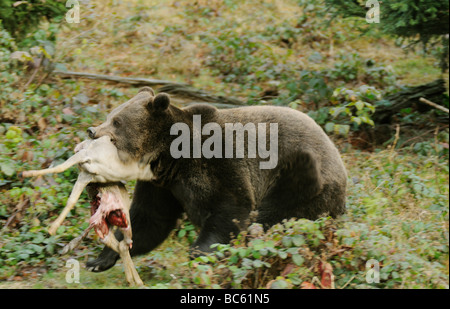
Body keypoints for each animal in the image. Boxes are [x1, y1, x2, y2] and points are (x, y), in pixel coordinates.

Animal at [84, 86, 346, 270]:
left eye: (117, 121)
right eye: (111, 115)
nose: (91, 130)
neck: (171, 158)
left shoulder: (219, 161)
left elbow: (230, 207)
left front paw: (200, 252)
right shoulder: (163, 186)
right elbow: (149, 219)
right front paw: (100, 259)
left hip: (301, 180)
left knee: (273, 213)